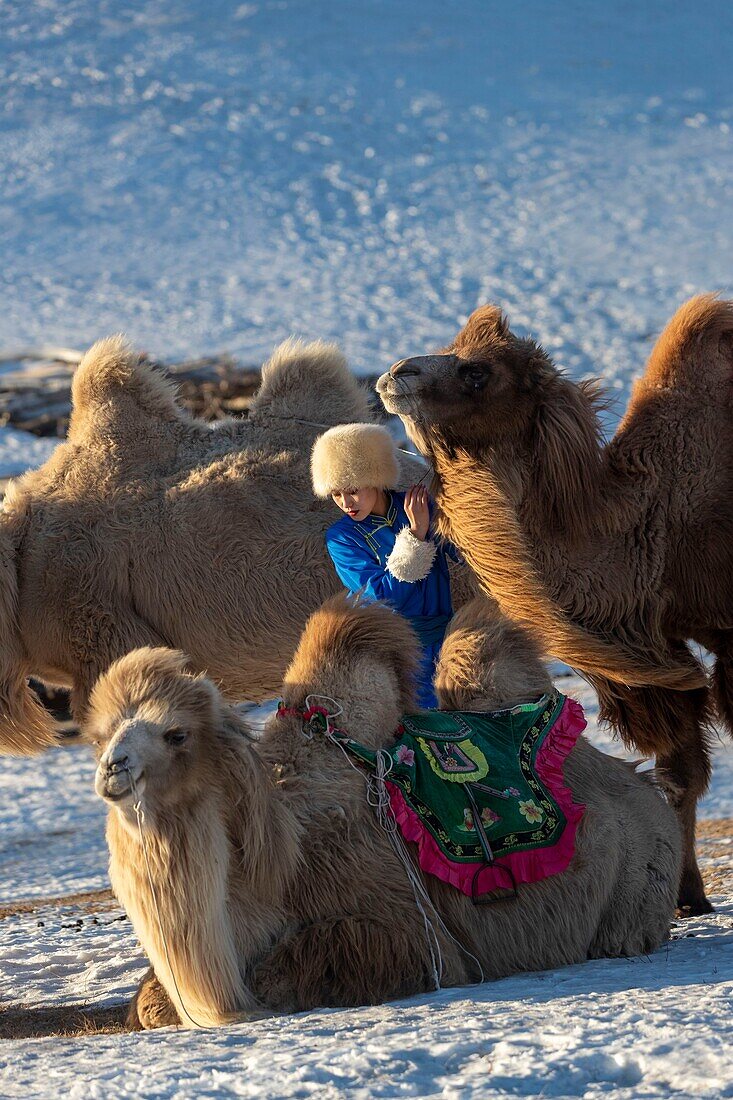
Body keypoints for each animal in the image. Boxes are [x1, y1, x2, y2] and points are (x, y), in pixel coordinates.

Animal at [88, 598, 682, 1025]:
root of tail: (641, 782)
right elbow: (152, 1000)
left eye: (176, 733)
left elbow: (305, 959)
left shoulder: (416, 935)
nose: (113, 769)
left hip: (642, 873)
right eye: (104, 732)